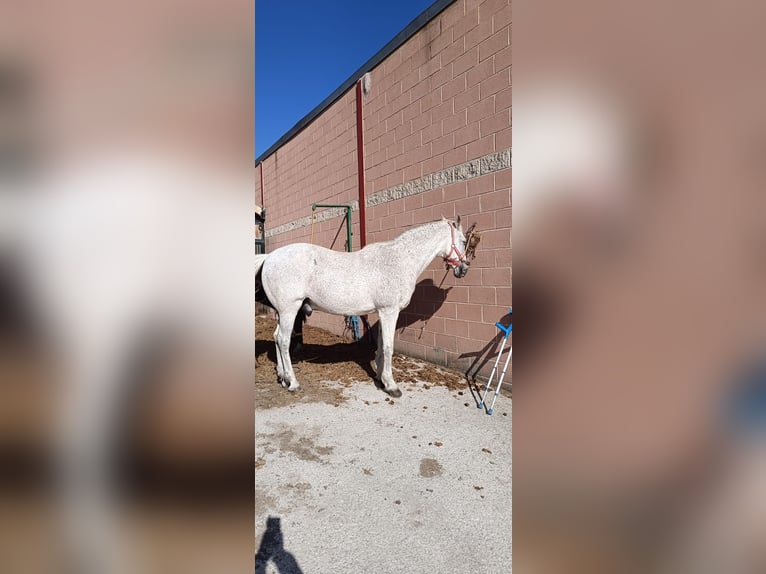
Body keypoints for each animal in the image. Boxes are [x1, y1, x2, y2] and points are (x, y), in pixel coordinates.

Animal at [258, 218, 472, 398]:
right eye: (463, 241)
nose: (464, 269)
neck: (399, 260)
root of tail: (269, 258)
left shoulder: (382, 312)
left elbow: (380, 344)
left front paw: (380, 377)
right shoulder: (389, 311)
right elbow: (388, 347)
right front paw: (391, 386)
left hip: (283, 312)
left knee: (276, 337)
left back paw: (283, 378)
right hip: (289, 310)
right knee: (284, 341)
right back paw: (293, 383)